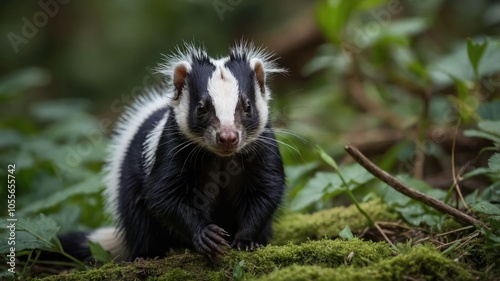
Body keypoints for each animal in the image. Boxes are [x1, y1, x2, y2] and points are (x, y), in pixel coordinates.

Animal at [59, 42, 286, 262]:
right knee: (139, 221)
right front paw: (206, 235)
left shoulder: (261, 145)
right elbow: (164, 195)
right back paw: (147, 255)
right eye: (201, 108)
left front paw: (246, 241)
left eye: (247, 106)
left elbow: (267, 189)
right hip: (128, 183)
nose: (227, 136)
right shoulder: (173, 145)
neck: (221, 158)